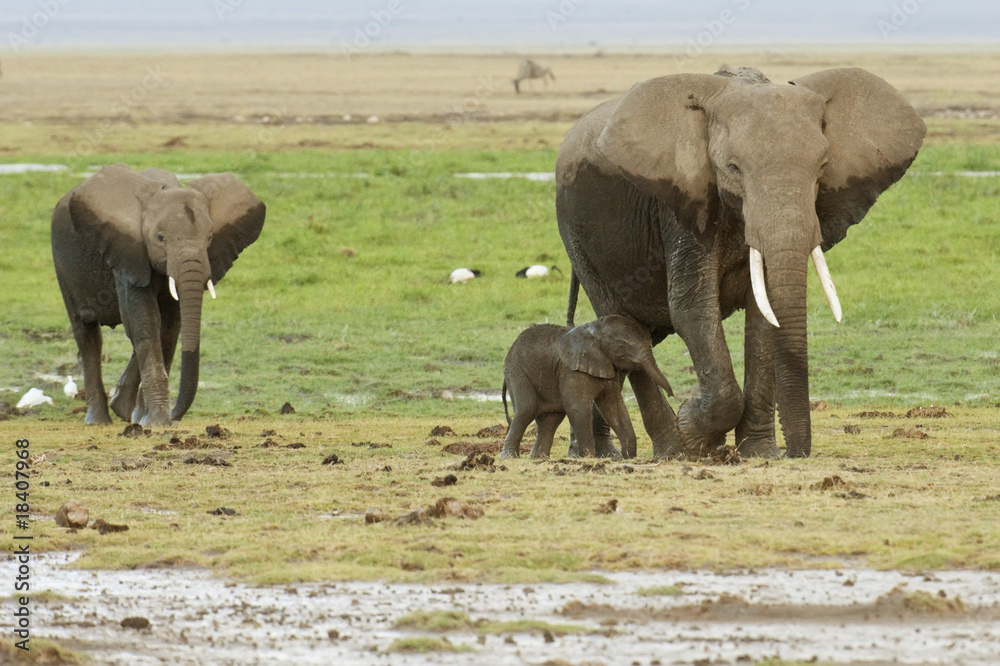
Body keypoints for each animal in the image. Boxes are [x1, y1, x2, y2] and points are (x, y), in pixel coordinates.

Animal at [51, 164, 266, 426]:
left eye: (210, 238)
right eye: (160, 239)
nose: (175, 416)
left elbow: (169, 326)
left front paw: (143, 418)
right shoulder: (127, 254)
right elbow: (143, 322)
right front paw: (157, 422)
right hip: (62, 267)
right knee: (88, 336)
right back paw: (99, 420)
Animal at [499, 315, 673, 460]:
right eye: (621, 347)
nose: (671, 395)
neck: (595, 330)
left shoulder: (608, 366)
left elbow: (614, 407)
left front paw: (627, 457)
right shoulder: (571, 370)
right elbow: (578, 407)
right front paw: (588, 457)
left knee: (551, 419)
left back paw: (538, 458)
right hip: (517, 371)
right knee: (526, 409)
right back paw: (509, 457)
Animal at [556, 66, 925, 459]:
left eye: (823, 167)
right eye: (733, 167)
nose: (794, 453)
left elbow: (764, 316)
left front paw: (757, 453)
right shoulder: (684, 206)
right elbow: (692, 309)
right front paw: (694, 431)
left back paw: (596, 450)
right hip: (579, 239)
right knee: (622, 327)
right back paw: (666, 450)